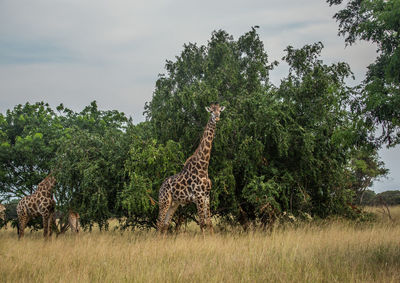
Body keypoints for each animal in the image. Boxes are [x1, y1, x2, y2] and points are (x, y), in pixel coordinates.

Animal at [157, 103, 225, 234]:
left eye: (219, 111)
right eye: (211, 111)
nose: (217, 118)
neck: (203, 166)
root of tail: (160, 187)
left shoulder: (207, 196)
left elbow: (209, 223)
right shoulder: (199, 196)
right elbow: (202, 223)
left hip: (174, 203)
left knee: (165, 224)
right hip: (164, 201)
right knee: (159, 223)